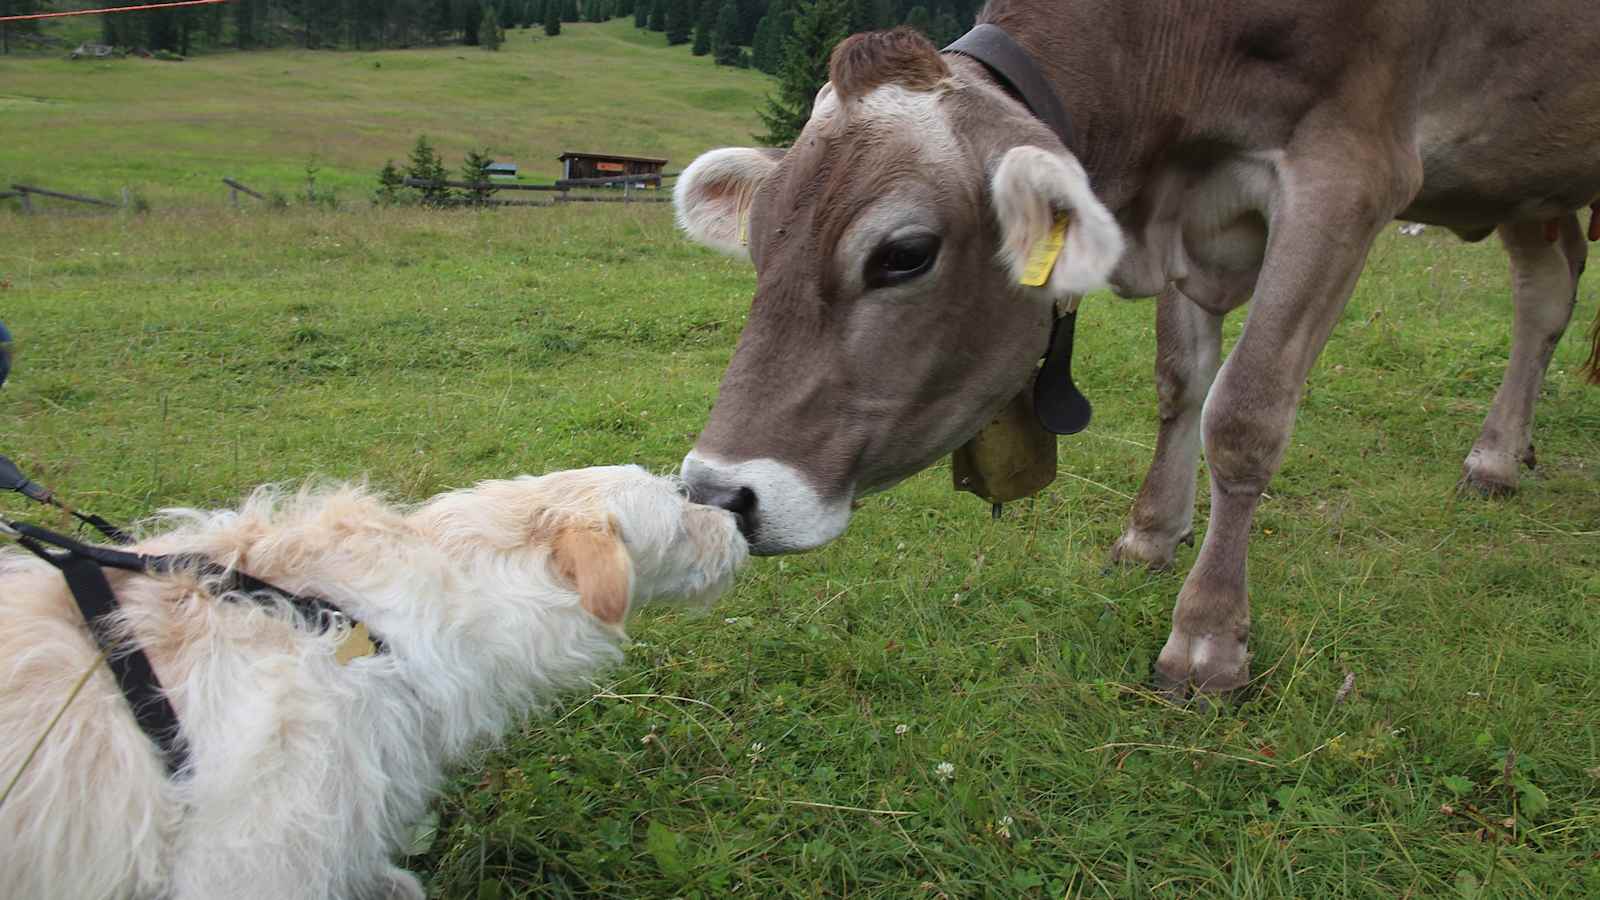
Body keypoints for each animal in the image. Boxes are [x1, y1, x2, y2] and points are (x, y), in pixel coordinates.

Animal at [668, 5, 1593, 695]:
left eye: (904, 253)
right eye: (760, 243)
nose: (719, 494)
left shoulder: (1349, 169)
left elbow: (1246, 414)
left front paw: (1207, 639)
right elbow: (1181, 381)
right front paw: (1150, 535)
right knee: (1546, 292)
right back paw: (1500, 456)